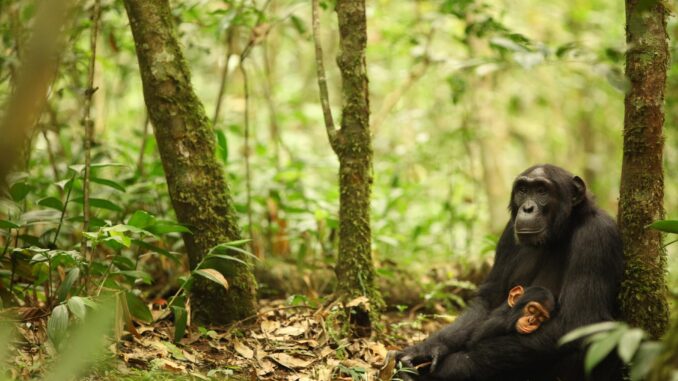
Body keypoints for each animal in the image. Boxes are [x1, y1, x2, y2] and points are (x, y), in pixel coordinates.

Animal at [398, 164, 628, 380]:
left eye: (542, 191)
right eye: (523, 190)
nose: (527, 208)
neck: (561, 231)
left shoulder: (597, 236)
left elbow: (576, 322)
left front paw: (450, 367)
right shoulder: (508, 233)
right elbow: (489, 300)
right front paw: (426, 350)